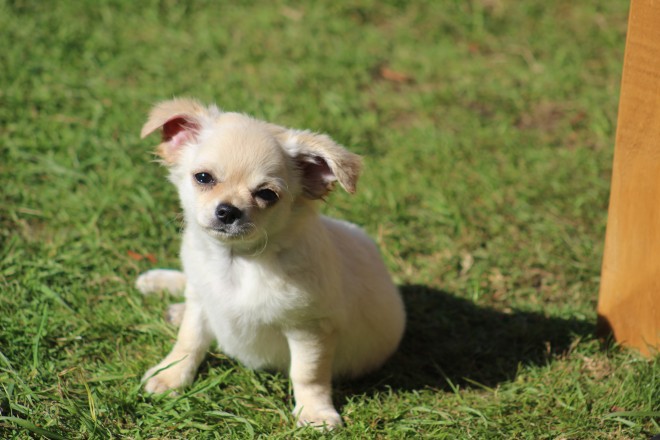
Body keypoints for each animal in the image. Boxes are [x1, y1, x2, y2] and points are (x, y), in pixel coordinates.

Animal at [138, 98, 408, 428]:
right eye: (203, 178)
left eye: (266, 194)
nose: (228, 211)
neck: (237, 262)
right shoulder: (202, 300)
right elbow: (188, 341)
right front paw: (171, 375)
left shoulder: (309, 329)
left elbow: (307, 374)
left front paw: (314, 412)